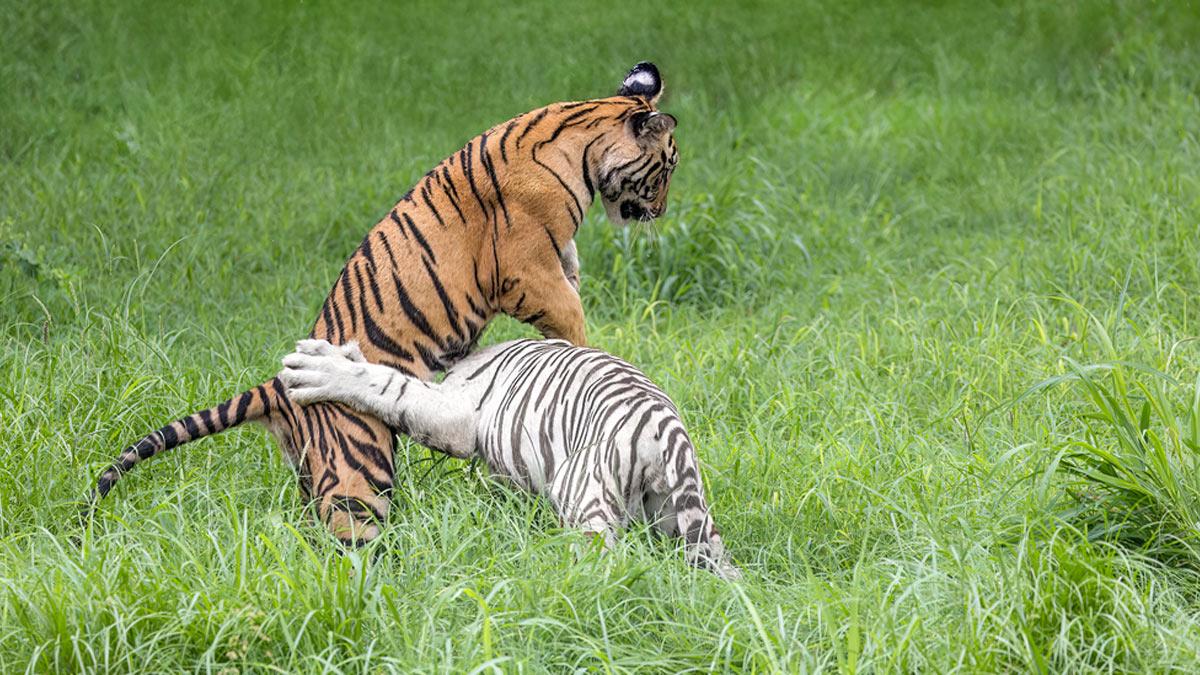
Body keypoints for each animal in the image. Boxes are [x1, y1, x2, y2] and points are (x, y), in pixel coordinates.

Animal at [86, 62, 680, 546]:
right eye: (667, 170)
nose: (662, 213)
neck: (582, 137)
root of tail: (276, 388)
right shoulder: (526, 272)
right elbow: (571, 318)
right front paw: (585, 356)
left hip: (314, 472)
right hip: (359, 465)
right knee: (348, 537)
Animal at [279, 337, 741, 579]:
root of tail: (667, 427)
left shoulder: (458, 412)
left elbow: (391, 385)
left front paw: (319, 366)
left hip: (582, 490)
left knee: (605, 556)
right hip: (680, 517)